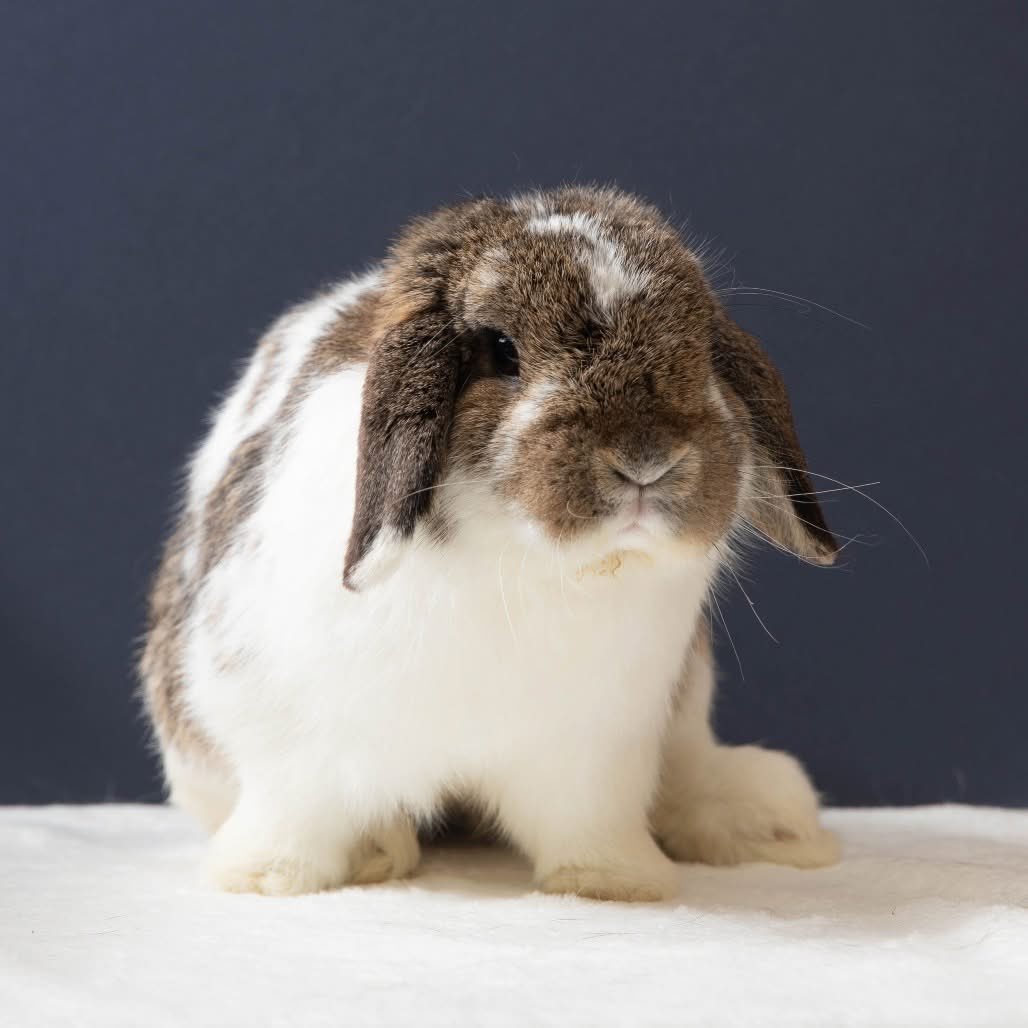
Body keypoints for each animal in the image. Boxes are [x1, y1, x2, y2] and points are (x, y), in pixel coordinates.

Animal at [140, 186, 841, 901]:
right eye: (502, 351)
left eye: (700, 348)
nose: (647, 460)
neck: (519, 554)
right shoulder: (288, 739)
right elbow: (296, 814)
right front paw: (268, 878)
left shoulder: (597, 750)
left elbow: (591, 824)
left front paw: (615, 882)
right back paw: (377, 852)